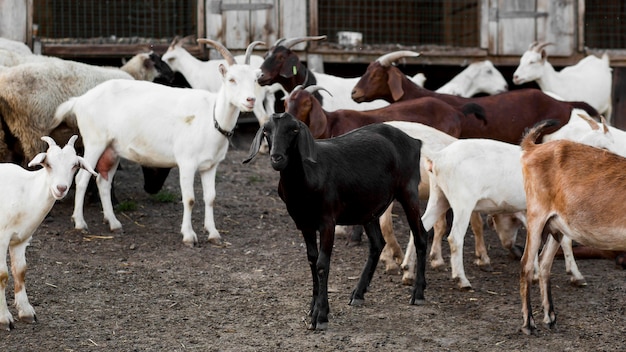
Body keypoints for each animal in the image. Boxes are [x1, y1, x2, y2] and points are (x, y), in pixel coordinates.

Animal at [0, 135, 96, 330]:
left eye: (74, 165)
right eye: (48, 164)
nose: (61, 188)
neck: (26, 192)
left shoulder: (21, 239)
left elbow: (20, 271)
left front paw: (26, 312)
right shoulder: (1, 237)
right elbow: (2, 275)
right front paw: (4, 318)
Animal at [50, 39, 260, 248]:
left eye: (255, 80)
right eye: (231, 79)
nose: (251, 100)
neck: (212, 117)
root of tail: (80, 100)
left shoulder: (211, 165)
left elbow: (211, 198)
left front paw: (214, 233)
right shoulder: (187, 162)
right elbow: (190, 199)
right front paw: (189, 236)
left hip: (113, 149)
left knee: (103, 182)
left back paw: (114, 224)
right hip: (95, 142)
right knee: (81, 180)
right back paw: (80, 223)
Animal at [241, 113, 426, 330]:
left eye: (294, 130)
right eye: (266, 131)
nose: (276, 158)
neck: (304, 183)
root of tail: (414, 142)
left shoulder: (327, 221)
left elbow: (322, 264)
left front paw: (320, 316)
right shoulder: (304, 223)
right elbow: (312, 260)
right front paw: (314, 307)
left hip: (408, 190)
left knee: (421, 236)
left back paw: (418, 293)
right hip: (368, 206)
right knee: (377, 243)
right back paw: (358, 293)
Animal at [520, 119, 624, 334]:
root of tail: (532, 147)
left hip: (556, 224)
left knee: (544, 263)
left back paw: (550, 317)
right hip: (536, 215)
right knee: (526, 263)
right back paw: (528, 323)